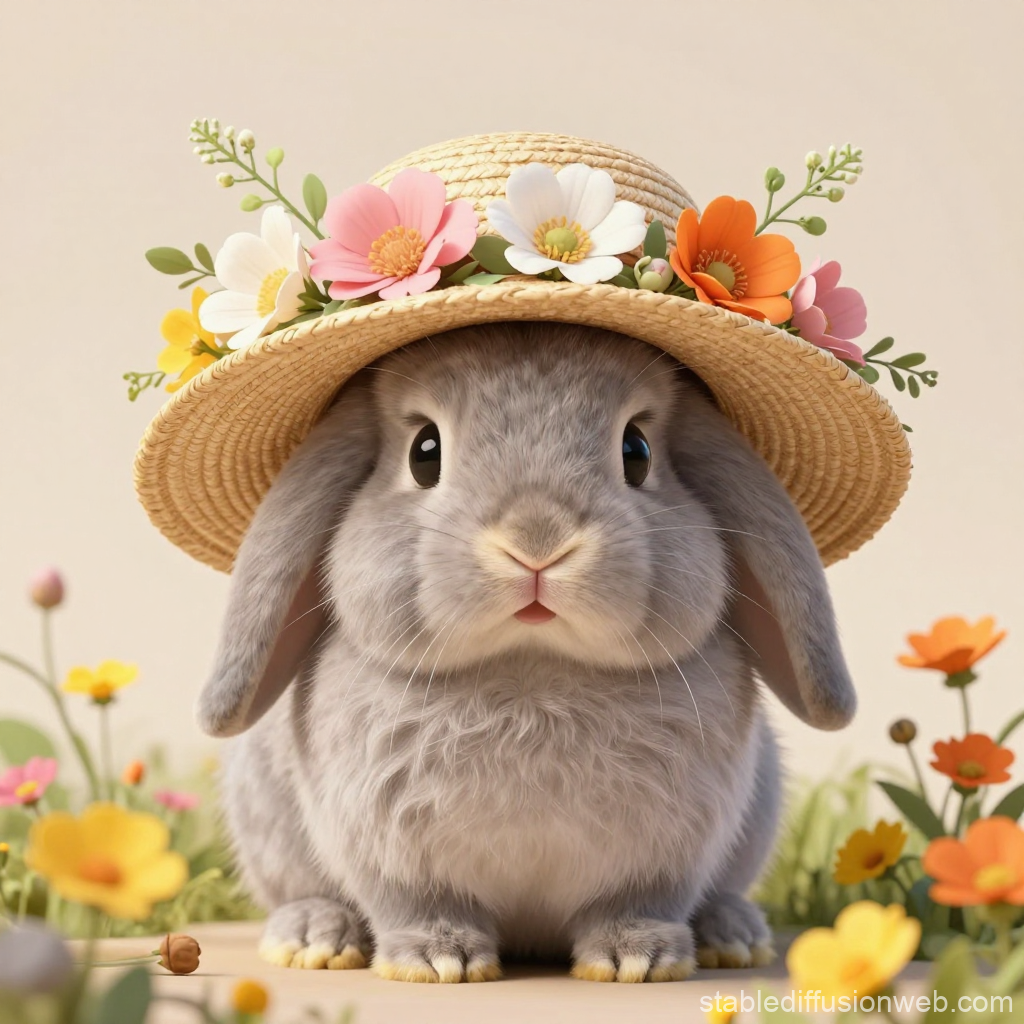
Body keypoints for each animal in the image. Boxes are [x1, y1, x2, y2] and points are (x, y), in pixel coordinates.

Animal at [199, 321, 856, 983]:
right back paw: (314, 938)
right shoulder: (387, 850)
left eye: (637, 451)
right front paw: (440, 960)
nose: (536, 540)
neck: (531, 668)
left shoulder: (667, 858)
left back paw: (733, 934)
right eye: (424, 453)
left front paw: (636, 960)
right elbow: (418, 904)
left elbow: (635, 905)